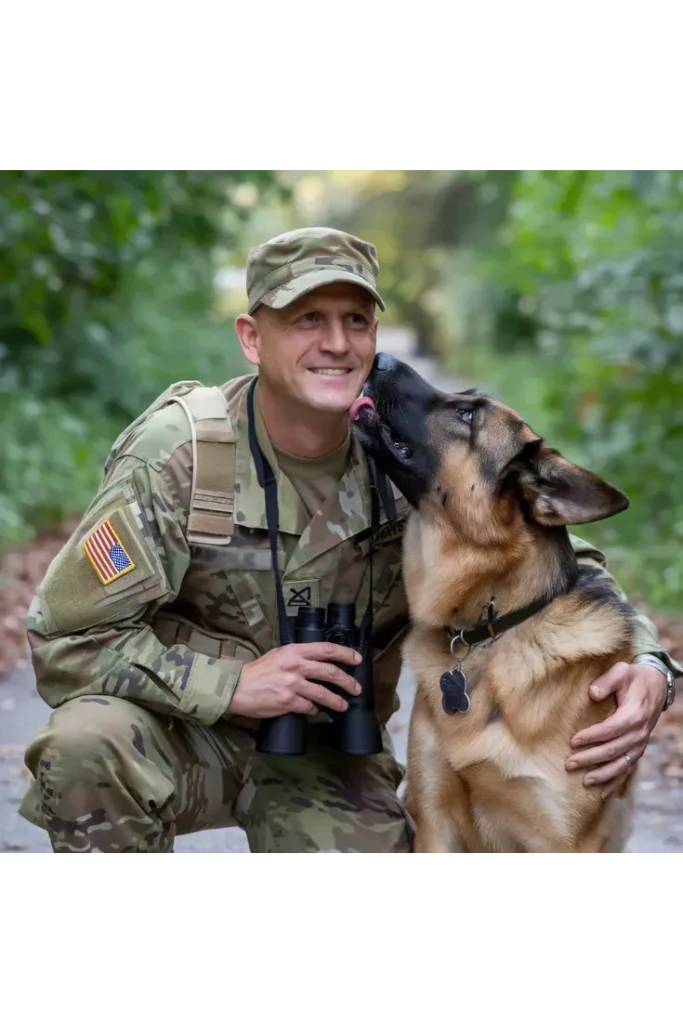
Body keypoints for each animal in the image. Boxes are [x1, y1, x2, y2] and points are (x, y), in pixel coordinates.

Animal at [350, 354, 638, 856]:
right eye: (464, 400)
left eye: (468, 415)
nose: (380, 357)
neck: (495, 626)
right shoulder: (434, 818)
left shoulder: (560, 840)